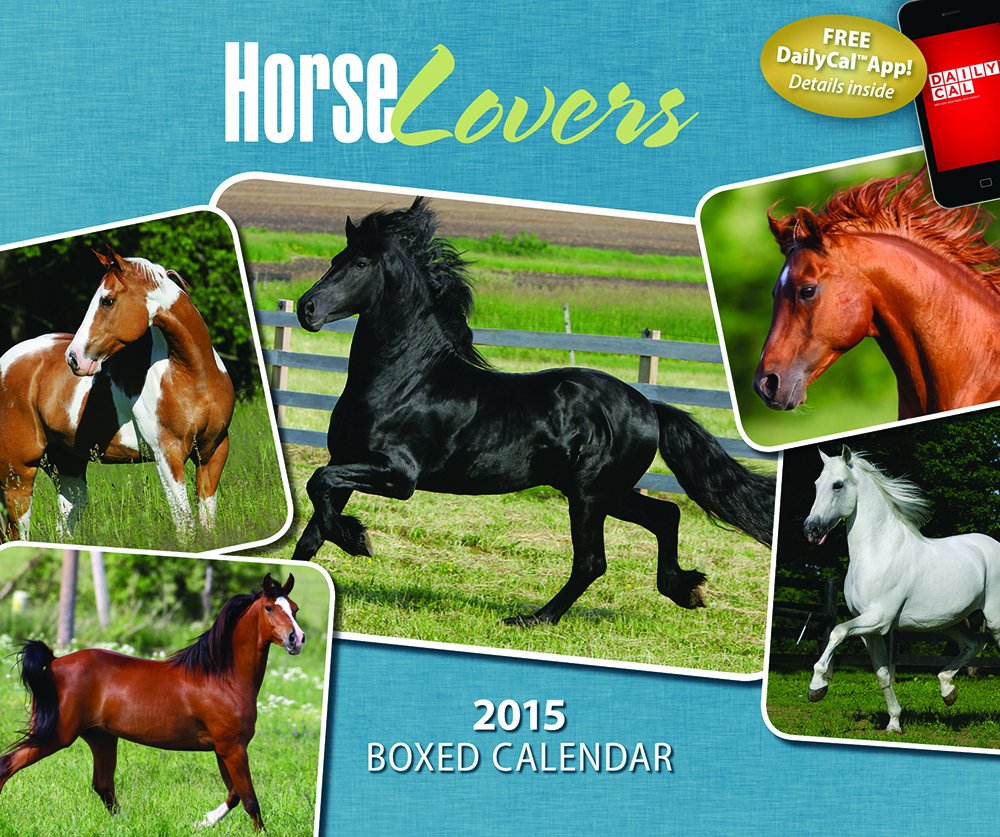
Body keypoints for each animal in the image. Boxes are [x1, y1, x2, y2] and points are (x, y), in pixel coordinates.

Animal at [0, 249, 235, 541]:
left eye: (107, 300)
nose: (74, 358)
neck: (193, 376)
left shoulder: (214, 450)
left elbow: (206, 523)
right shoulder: (168, 456)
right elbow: (185, 525)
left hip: (67, 467)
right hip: (18, 475)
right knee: (16, 532)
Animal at [0, 573, 305, 830]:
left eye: (295, 608)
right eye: (269, 608)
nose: (296, 639)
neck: (221, 678)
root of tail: (53, 663)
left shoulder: (224, 748)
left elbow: (234, 795)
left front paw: (201, 823)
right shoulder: (233, 747)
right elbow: (250, 800)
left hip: (101, 738)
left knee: (103, 786)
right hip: (58, 735)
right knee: (8, 765)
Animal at [292, 197, 775, 625]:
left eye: (360, 264)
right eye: (335, 258)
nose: (305, 308)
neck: (406, 380)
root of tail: (649, 407)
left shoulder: (398, 475)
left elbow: (319, 485)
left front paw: (358, 540)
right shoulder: (348, 460)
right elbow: (313, 528)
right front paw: (336, 549)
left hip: (590, 495)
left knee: (593, 561)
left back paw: (535, 618)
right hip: (607, 492)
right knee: (665, 516)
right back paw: (685, 590)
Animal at [802, 447, 1000, 732]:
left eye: (837, 485)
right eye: (817, 484)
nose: (811, 529)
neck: (878, 552)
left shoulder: (879, 620)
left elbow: (836, 632)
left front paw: (817, 686)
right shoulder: (869, 630)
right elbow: (883, 674)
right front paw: (894, 724)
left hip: (994, 619)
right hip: (948, 622)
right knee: (974, 643)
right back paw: (947, 690)